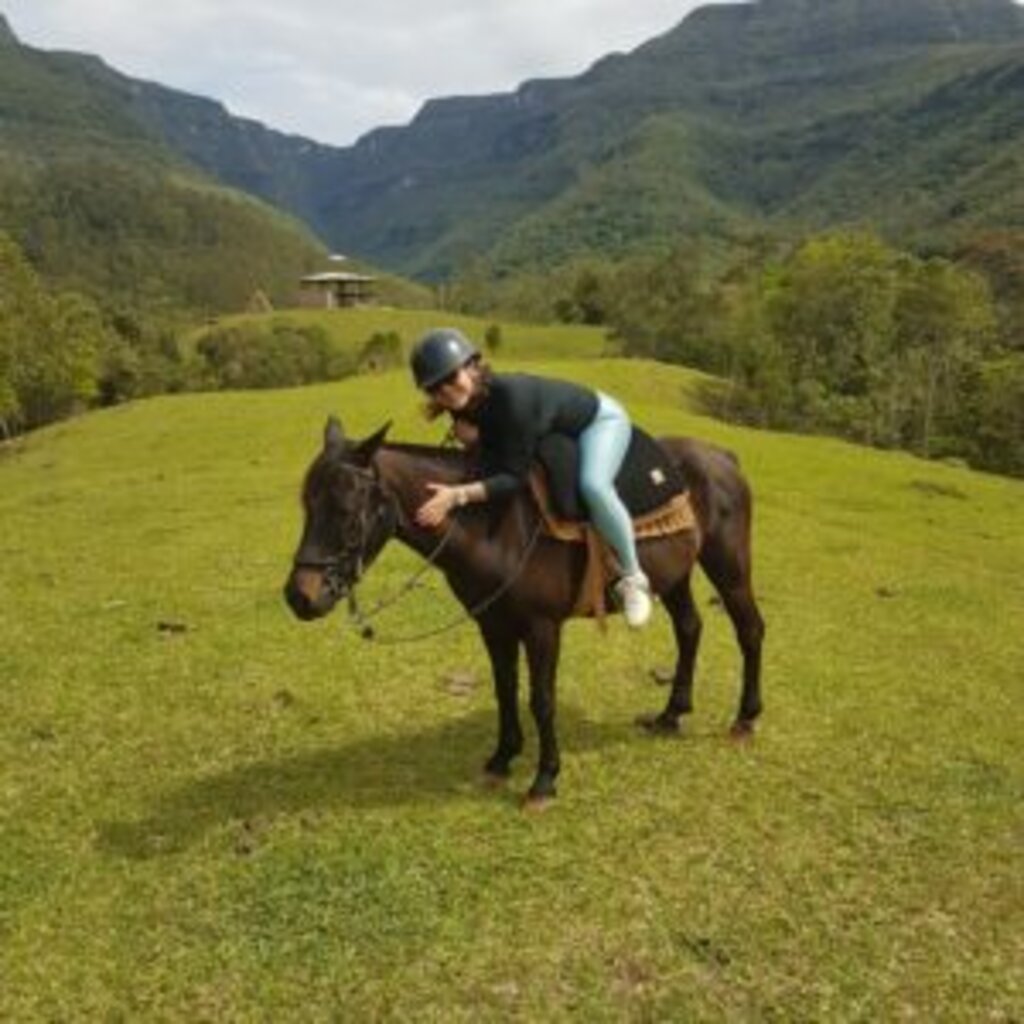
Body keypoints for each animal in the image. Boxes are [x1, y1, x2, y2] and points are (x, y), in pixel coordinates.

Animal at [284, 417, 765, 806]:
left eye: (346, 511)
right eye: (306, 504)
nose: (300, 596)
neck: (496, 527)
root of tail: (724, 456)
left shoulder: (541, 628)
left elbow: (542, 700)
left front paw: (544, 780)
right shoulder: (493, 624)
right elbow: (504, 689)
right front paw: (502, 758)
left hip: (729, 567)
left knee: (749, 630)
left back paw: (744, 719)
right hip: (675, 575)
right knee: (689, 628)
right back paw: (671, 714)